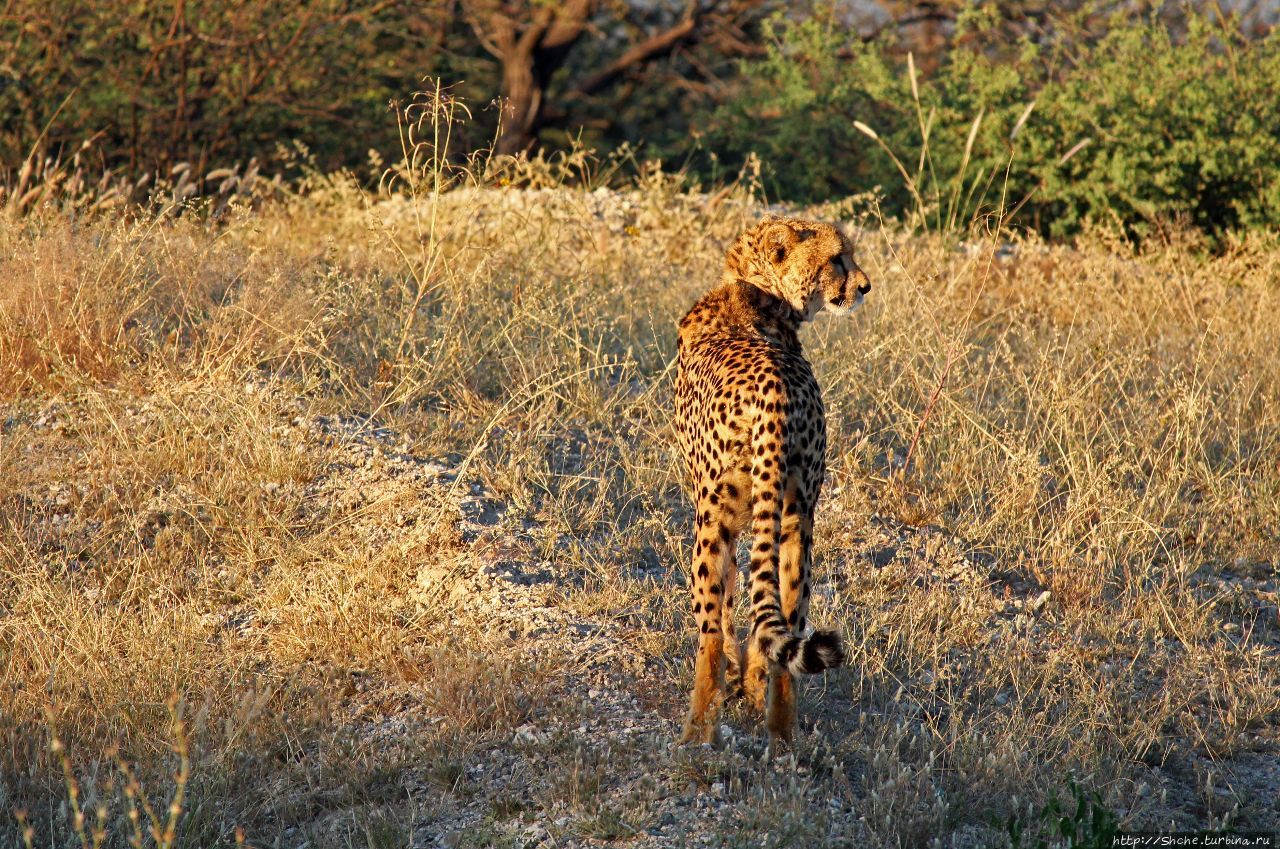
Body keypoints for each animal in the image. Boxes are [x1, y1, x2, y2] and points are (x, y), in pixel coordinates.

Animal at [670, 216, 870, 747]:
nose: (864, 286)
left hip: (710, 521)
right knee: (789, 623)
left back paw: (697, 731)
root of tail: (777, 389)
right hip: (799, 519)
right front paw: (750, 683)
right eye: (837, 258)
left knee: (709, 633)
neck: (756, 290)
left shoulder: (717, 516)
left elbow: (726, 609)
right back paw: (781, 734)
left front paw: (735, 681)